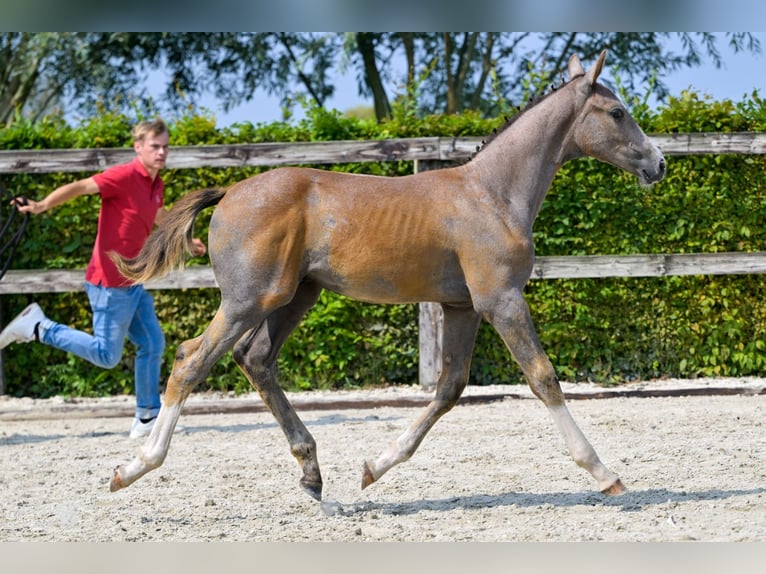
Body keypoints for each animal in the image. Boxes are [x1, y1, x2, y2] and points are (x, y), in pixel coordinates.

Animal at [106, 51, 664, 502]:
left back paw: (311, 472)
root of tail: (229, 193)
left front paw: (374, 467)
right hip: (249, 300)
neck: (492, 193)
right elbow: (543, 377)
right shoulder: (501, 299)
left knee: (255, 359)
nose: (658, 163)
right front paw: (604, 473)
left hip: (295, 296)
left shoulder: (462, 307)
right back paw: (133, 467)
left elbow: (449, 388)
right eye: (617, 112)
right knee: (190, 360)